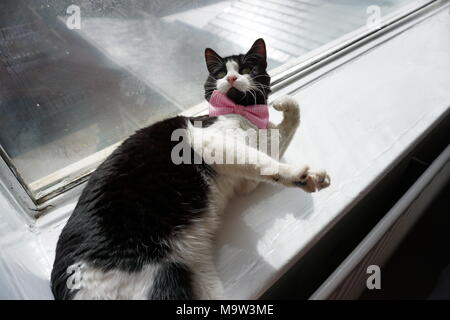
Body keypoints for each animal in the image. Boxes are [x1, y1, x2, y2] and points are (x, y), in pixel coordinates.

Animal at [51, 38, 330, 300]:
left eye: (246, 68)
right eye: (220, 73)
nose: (231, 77)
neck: (241, 114)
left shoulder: (245, 181)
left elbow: (276, 142)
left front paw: (286, 108)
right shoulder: (210, 142)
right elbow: (261, 158)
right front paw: (301, 175)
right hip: (156, 278)